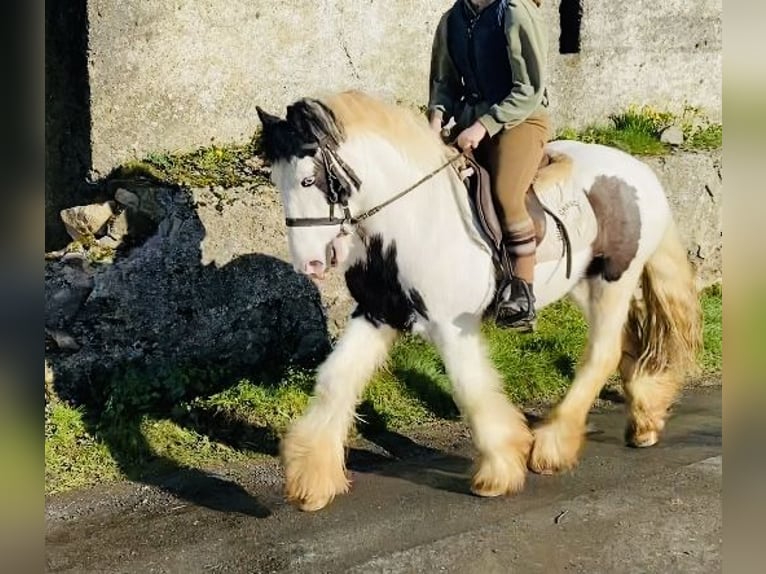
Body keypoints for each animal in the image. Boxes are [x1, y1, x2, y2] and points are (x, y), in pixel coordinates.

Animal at [256, 90, 704, 512]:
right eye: (277, 181)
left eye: (308, 181)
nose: (310, 263)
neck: (414, 221)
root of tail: (638, 170)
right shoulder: (377, 315)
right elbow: (336, 381)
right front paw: (311, 480)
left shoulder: (451, 326)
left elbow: (469, 389)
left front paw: (500, 470)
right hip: (583, 283)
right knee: (629, 339)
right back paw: (644, 420)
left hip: (616, 278)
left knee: (602, 353)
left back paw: (552, 446)